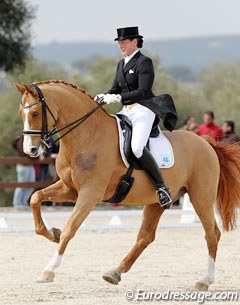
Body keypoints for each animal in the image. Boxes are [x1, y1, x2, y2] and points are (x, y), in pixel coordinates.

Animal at [15, 79, 240, 288]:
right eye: (21, 113)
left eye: (35, 113)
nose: (30, 150)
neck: (87, 136)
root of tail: (206, 143)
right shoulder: (70, 189)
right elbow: (35, 198)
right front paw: (52, 233)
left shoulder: (90, 194)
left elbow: (71, 227)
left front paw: (48, 270)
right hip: (156, 203)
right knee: (145, 237)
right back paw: (115, 272)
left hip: (201, 198)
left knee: (212, 234)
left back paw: (205, 280)